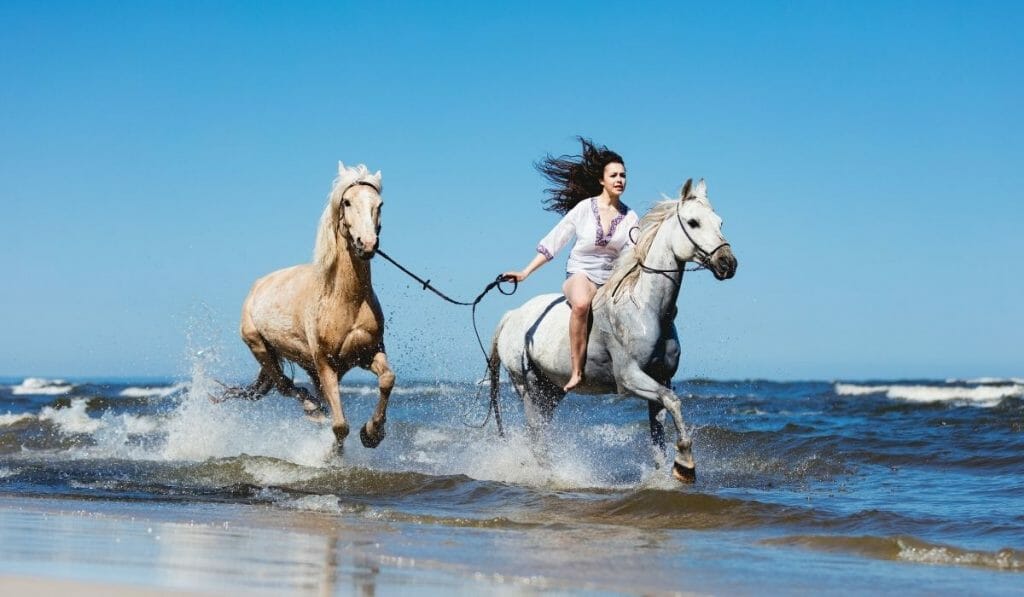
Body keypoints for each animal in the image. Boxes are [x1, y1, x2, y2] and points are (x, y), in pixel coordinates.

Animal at [230, 160, 393, 450]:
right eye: (347, 202)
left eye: (380, 204)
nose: (367, 244)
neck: (345, 300)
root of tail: (257, 286)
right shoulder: (325, 363)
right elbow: (340, 426)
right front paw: (334, 454)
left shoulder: (369, 352)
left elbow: (387, 379)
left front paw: (372, 433)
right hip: (261, 348)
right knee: (284, 385)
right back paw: (311, 408)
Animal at [487, 177, 737, 481]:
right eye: (693, 222)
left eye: (720, 222)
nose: (728, 263)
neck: (645, 309)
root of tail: (512, 315)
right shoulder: (629, 379)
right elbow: (674, 402)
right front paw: (686, 465)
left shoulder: (661, 379)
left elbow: (660, 430)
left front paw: (668, 471)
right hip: (529, 387)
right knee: (535, 433)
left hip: (551, 390)